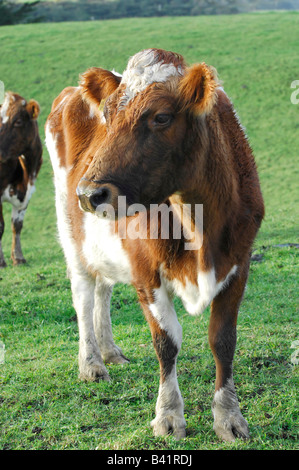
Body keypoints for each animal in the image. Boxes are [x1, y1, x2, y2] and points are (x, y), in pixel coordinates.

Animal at [45, 49, 266, 442]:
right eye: (107, 115)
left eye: (161, 117)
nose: (88, 194)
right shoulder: (145, 272)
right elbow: (167, 342)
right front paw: (168, 416)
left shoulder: (239, 264)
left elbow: (223, 340)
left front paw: (229, 418)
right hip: (71, 232)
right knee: (83, 293)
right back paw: (92, 363)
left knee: (102, 289)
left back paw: (110, 350)